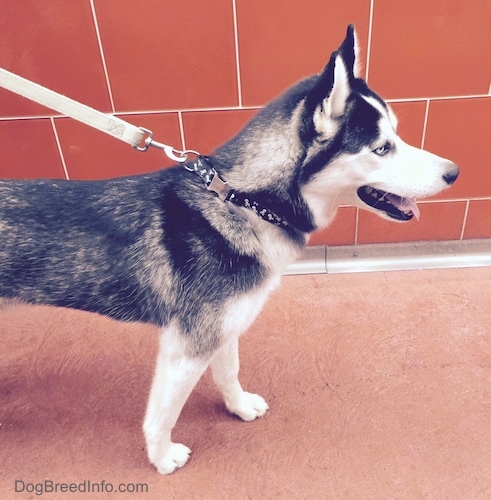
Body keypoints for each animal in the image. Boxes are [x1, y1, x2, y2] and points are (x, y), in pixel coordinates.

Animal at [0, 26, 462, 472]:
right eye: (382, 147)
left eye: (397, 135)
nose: (454, 172)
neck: (244, 202)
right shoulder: (188, 345)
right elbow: (162, 413)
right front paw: (161, 457)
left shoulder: (226, 324)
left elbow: (229, 372)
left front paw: (238, 407)